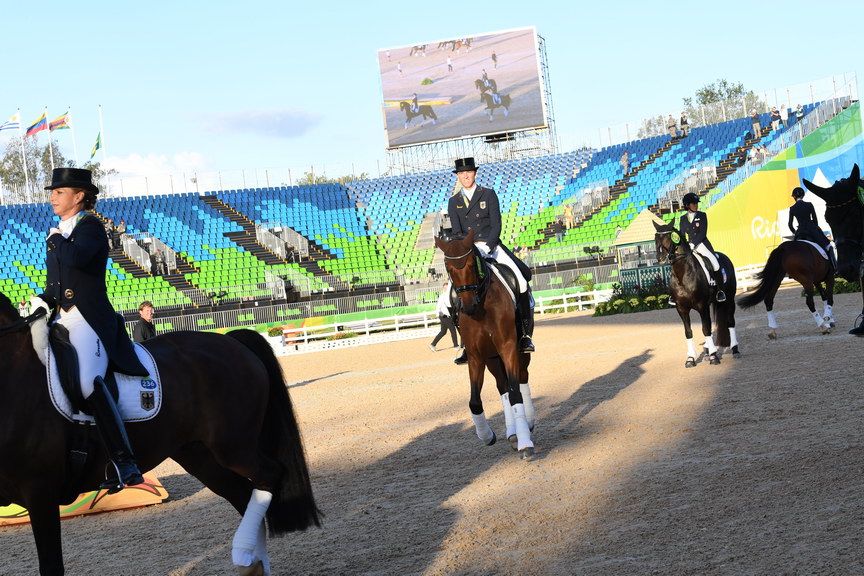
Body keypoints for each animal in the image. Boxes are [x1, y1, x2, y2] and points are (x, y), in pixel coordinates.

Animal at [0, 291, 320, 576]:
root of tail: (229, 340)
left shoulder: (40, 490)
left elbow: (51, 565)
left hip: (234, 447)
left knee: (268, 476)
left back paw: (245, 554)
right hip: (198, 455)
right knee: (243, 495)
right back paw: (251, 564)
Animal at [434, 229, 536, 459]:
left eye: (472, 264)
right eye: (448, 267)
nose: (468, 305)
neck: (482, 309)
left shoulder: (508, 348)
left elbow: (516, 394)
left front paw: (526, 443)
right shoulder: (476, 356)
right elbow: (475, 401)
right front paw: (486, 435)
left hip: (519, 352)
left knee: (522, 379)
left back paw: (528, 423)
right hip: (492, 358)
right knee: (503, 387)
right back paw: (512, 432)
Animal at [653, 220, 741, 367]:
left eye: (668, 238)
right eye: (655, 238)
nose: (660, 258)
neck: (683, 275)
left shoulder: (701, 305)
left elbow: (706, 329)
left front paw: (714, 357)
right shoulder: (681, 308)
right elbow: (688, 332)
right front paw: (690, 358)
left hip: (729, 299)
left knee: (730, 322)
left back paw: (735, 350)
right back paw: (706, 351)